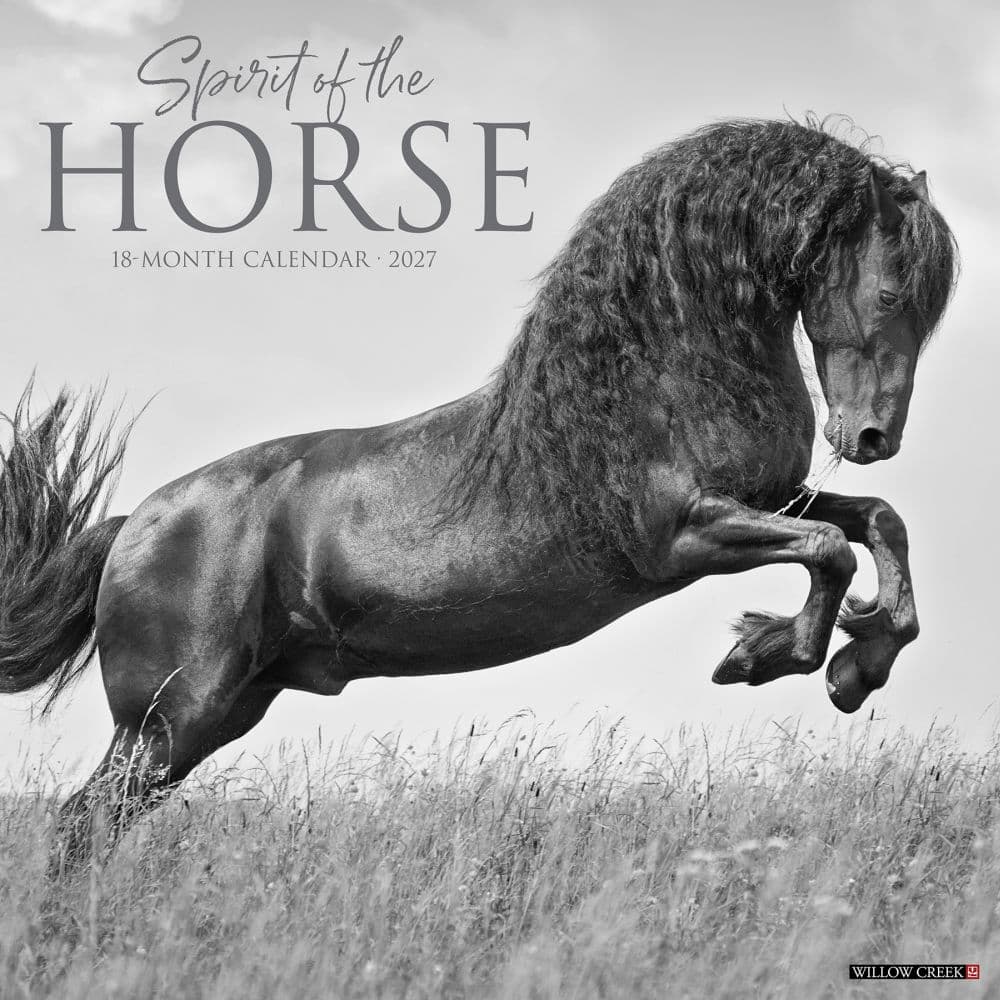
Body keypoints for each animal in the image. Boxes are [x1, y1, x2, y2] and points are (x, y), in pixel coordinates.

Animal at [0, 118, 956, 872]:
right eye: (887, 291)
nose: (873, 439)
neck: (646, 384)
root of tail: (133, 525)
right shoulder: (685, 537)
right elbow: (830, 552)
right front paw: (770, 656)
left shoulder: (771, 496)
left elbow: (877, 525)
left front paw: (863, 657)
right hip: (172, 719)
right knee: (83, 822)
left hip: (222, 711)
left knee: (99, 820)